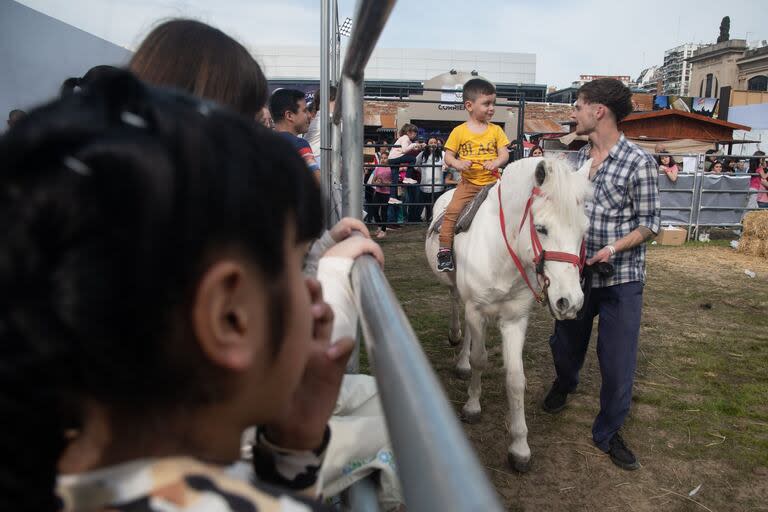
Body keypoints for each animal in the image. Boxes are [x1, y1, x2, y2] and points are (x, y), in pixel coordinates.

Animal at [424, 157, 592, 472]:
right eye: (541, 228)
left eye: (584, 230)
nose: (571, 302)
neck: (503, 251)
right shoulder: (476, 309)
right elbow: (480, 360)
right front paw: (472, 407)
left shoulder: (515, 319)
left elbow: (515, 379)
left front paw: (519, 446)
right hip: (456, 286)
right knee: (456, 304)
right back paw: (456, 340)